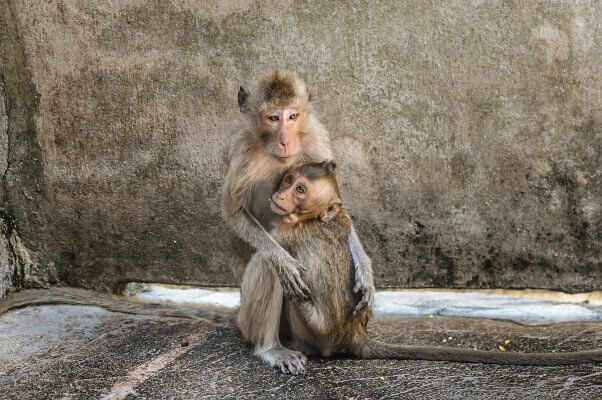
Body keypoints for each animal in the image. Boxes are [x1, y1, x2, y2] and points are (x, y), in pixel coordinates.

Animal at [1, 161, 596, 374]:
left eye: (298, 187)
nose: (282, 192)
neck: (313, 216)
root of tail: (351, 340)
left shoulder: (292, 227)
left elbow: (273, 253)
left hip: (300, 329)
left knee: (269, 270)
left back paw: (266, 344)